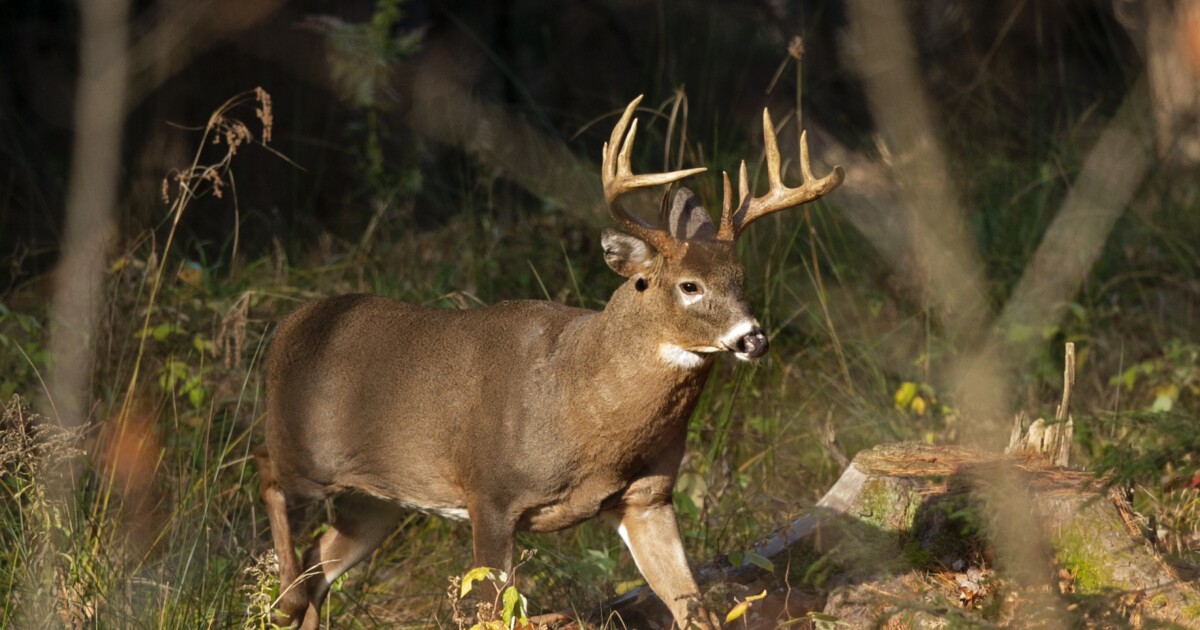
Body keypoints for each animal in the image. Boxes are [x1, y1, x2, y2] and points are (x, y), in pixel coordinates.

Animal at [254, 95, 843, 629]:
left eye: (741, 280)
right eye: (689, 285)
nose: (753, 339)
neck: (580, 405)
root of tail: (288, 327)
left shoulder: (648, 497)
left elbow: (692, 607)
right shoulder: (489, 492)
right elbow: (491, 614)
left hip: (377, 499)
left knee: (318, 563)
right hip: (305, 449)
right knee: (268, 477)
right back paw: (283, 599)